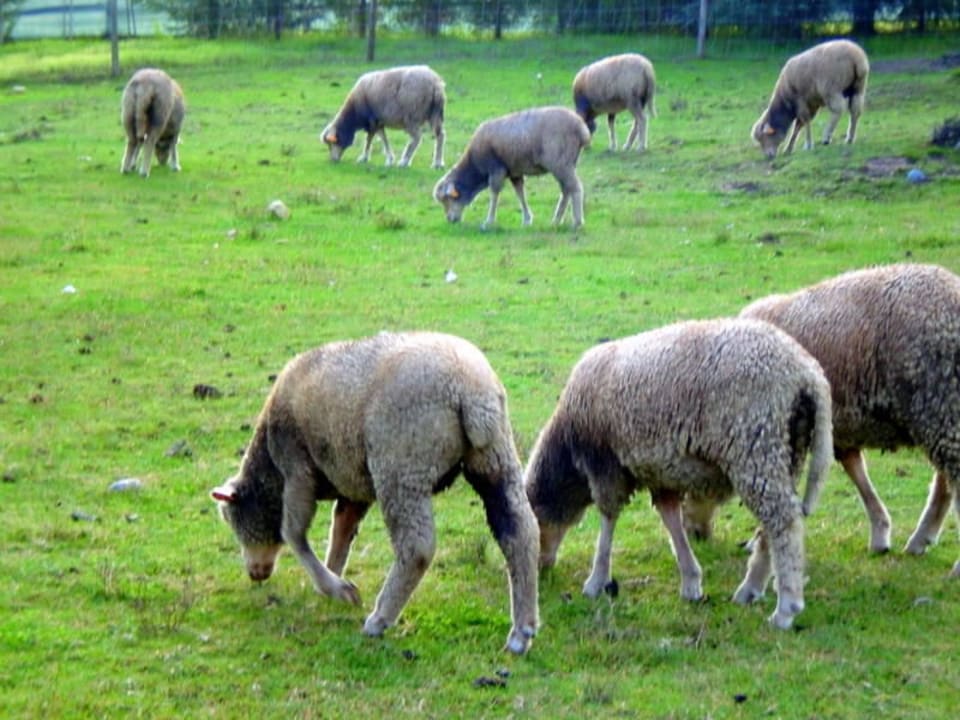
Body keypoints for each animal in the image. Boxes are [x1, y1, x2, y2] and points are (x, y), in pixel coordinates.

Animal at [210, 331, 539, 653]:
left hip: (401, 467)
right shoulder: (352, 487)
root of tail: (470, 391)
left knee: (417, 548)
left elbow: (293, 532)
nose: (255, 574)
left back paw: (380, 619)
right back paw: (522, 630)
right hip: (494, 457)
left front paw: (335, 587)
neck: (268, 467)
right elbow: (341, 531)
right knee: (520, 531)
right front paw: (332, 580)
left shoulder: (296, 468)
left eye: (233, 520)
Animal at [433, 106, 590, 229]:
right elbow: (520, 193)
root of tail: (582, 129)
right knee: (566, 189)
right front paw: (527, 220)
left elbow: (494, 194)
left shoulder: (496, 169)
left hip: (560, 163)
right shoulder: (514, 172)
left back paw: (577, 222)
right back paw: (557, 220)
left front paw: (489, 222)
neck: (475, 166)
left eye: (447, 199)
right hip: (568, 163)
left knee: (575, 187)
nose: (450, 220)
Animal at [524, 319, 833, 630]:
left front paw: (596, 581)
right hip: (788, 449)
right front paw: (691, 581)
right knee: (776, 520)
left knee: (783, 521)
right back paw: (751, 589)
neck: (567, 450)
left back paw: (786, 608)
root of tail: (806, 373)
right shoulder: (660, 473)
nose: (540, 570)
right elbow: (671, 518)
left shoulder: (604, 463)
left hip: (754, 442)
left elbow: (608, 520)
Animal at [684, 264, 960, 579]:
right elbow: (856, 471)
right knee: (944, 480)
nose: (695, 535)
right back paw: (920, 540)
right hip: (938, 413)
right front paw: (880, 534)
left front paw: (758, 542)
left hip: (938, 403)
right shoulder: (837, 428)